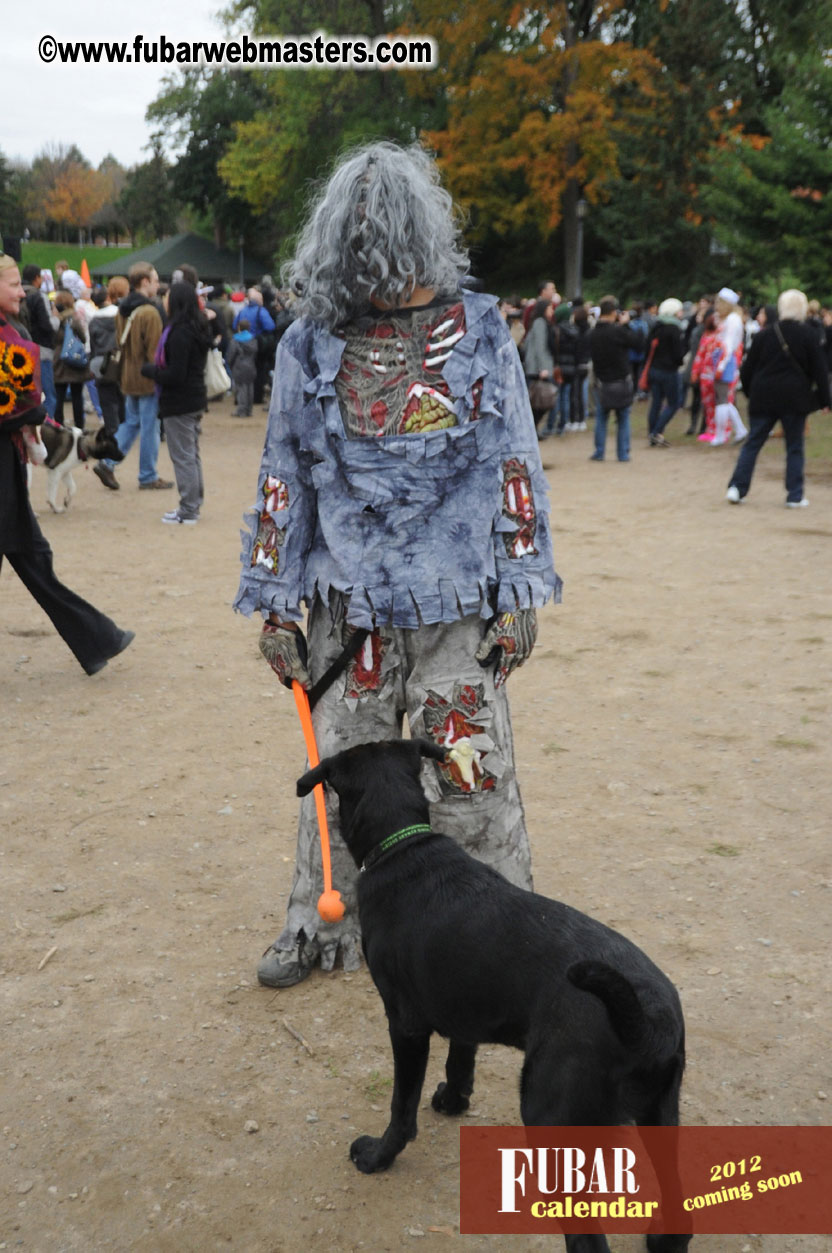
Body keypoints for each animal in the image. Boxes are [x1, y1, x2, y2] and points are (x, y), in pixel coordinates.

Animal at [299, 736, 686, 1247]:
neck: (403, 846)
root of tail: (647, 1022)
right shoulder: (464, 1006)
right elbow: (460, 1060)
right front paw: (453, 1102)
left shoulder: (405, 1024)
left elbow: (402, 1106)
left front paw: (379, 1155)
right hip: (660, 1115)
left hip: (550, 1117)